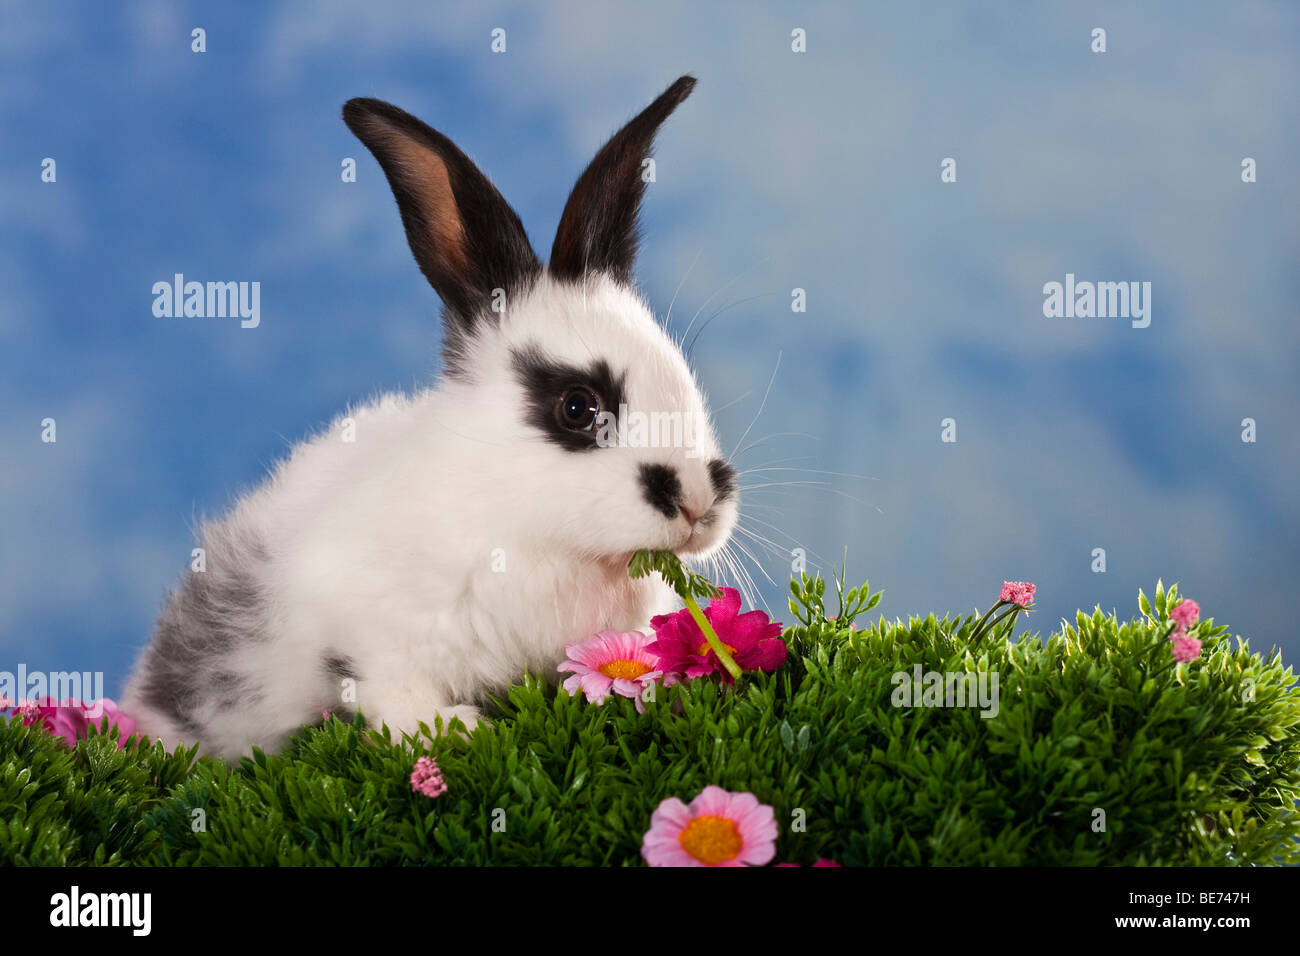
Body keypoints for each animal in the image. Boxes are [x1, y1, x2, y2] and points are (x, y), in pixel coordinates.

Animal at [124, 76, 743, 764]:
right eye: (579, 407)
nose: (697, 504)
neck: (528, 524)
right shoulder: (367, 631)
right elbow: (390, 693)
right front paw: (458, 729)